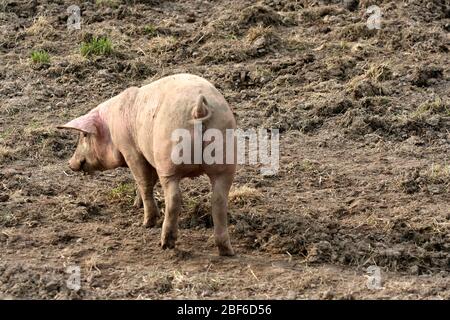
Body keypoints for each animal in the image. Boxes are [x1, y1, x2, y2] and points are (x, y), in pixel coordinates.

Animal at [58, 74, 237, 256]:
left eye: (84, 136)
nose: (70, 164)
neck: (111, 127)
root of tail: (199, 106)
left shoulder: (131, 150)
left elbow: (143, 181)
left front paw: (145, 220)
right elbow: (147, 180)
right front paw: (136, 205)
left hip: (168, 158)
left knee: (174, 198)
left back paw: (163, 240)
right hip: (225, 156)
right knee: (219, 199)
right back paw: (226, 251)